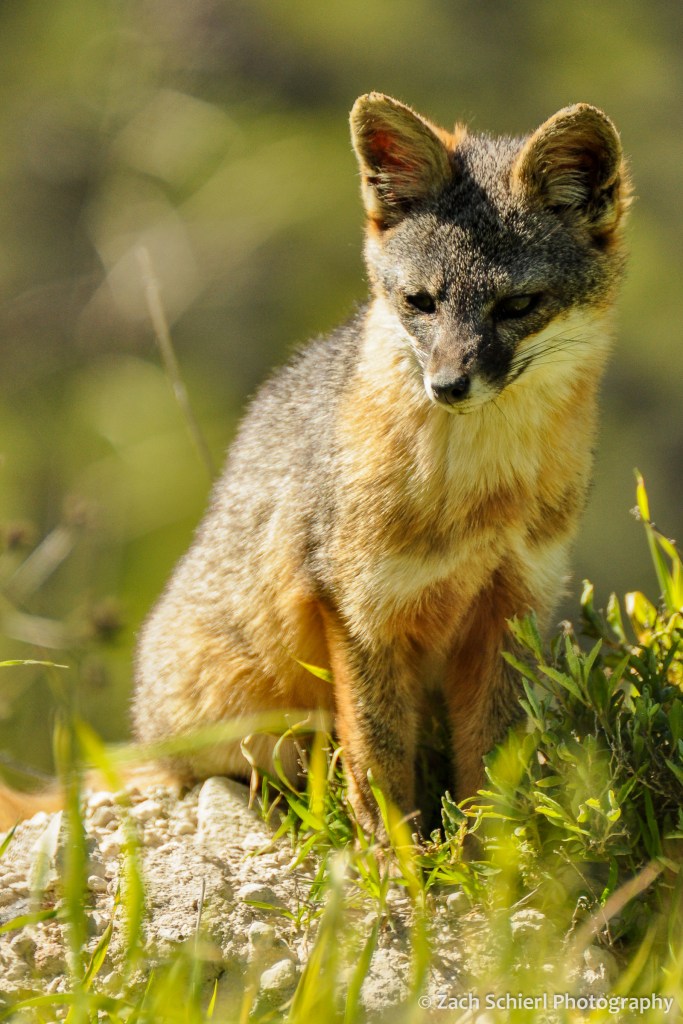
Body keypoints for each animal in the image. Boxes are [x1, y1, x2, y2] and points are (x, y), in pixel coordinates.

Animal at [0, 94, 629, 836]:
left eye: (517, 306)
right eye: (420, 302)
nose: (447, 386)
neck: (477, 495)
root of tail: (153, 740)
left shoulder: (512, 603)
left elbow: (490, 770)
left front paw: (491, 855)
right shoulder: (355, 607)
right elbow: (379, 761)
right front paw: (399, 857)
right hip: (260, 730)